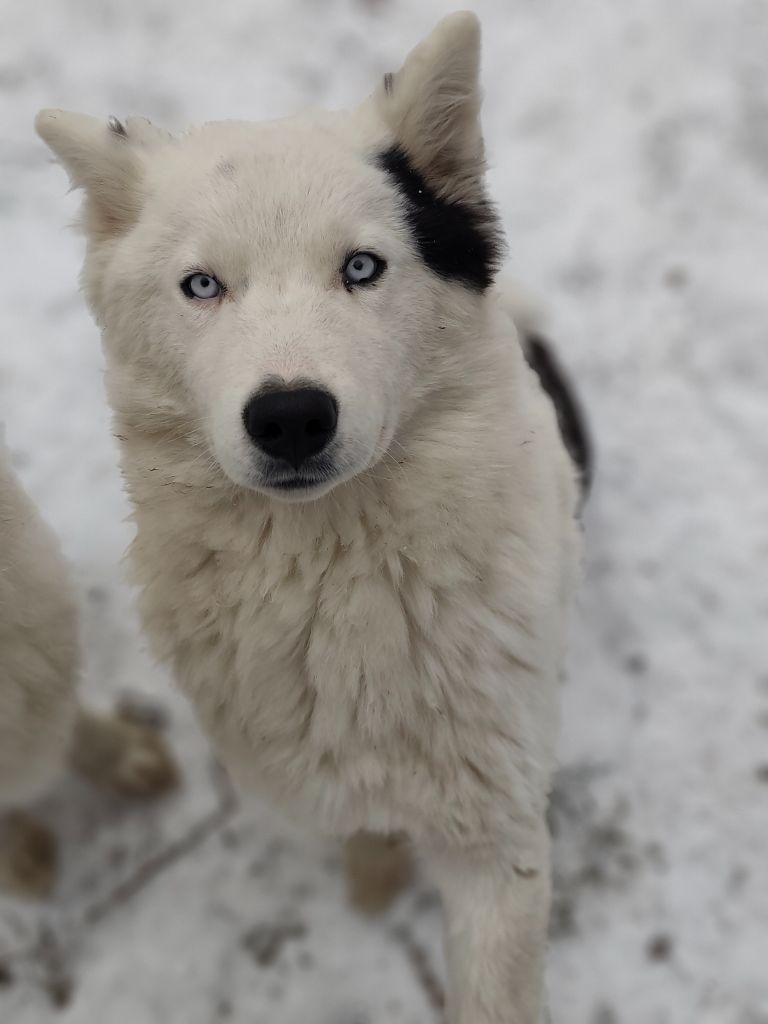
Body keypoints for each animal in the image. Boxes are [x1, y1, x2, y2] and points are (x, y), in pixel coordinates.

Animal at [36, 11, 588, 1021]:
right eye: (202, 285)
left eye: (363, 267)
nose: (291, 416)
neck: (333, 576)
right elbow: (362, 823)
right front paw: (372, 877)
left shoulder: (497, 838)